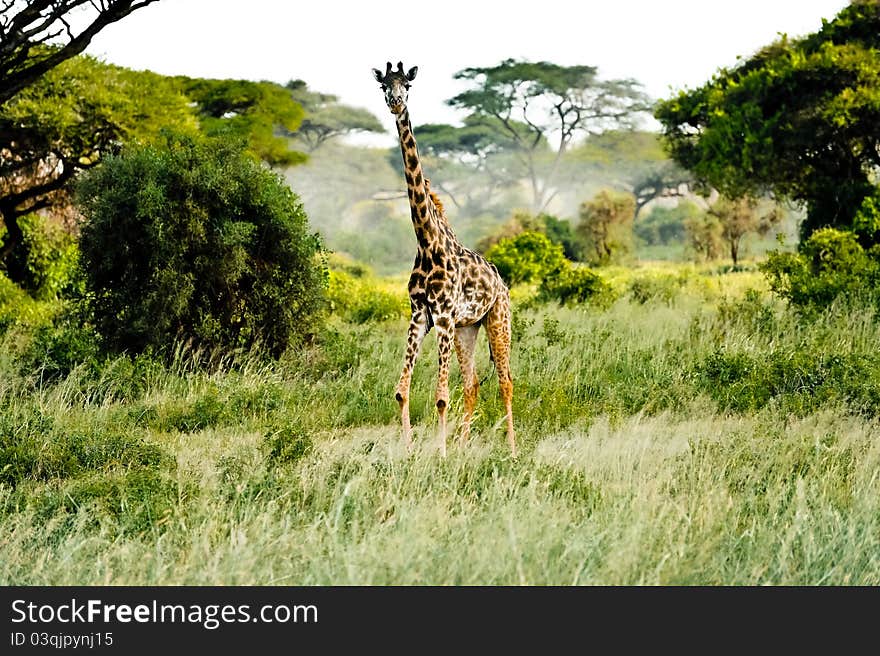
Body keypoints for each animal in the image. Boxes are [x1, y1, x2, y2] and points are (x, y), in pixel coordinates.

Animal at [372, 64, 516, 458]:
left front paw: (440, 453)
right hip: (468, 328)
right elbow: (401, 390)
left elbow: (440, 397)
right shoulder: (420, 314)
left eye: (407, 84)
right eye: (383, 85)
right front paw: (409, 450)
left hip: (497, 320)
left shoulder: (445, 315)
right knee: (473, 384)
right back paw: (465, 446)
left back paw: (512, 451)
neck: (427, 241)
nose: (396, 102)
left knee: (506, 382)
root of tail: (501, 281)